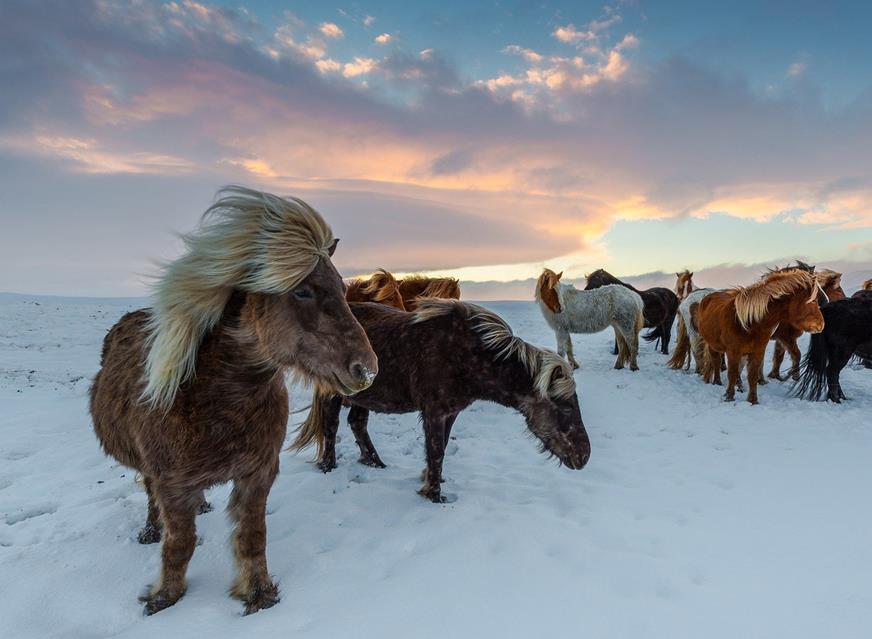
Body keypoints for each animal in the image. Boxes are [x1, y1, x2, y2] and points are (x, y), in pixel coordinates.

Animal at [89, 187, 377, 615]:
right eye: (302, 290)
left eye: (344, 290)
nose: (366, 370)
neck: (217, 401)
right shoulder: (172, 484)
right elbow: (179, 544)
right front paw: (164, 598)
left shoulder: (257, 474)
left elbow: (252, 537)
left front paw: (258, 594)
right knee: (150, 494)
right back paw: (150, 529)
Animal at [290, 300, 591, 502]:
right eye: (565, 407)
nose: (584, 456)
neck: (468, 354)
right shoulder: (434, 412)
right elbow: (436, 450)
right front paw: (434, 495)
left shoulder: (451, 412)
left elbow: (442, 447)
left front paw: (431, 480)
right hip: (333, 395)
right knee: (330, 427)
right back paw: (329, 466)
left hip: (364, 396)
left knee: (357, 423)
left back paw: (375, 463)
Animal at [697, 269, 824, 404]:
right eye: (814, 301)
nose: (821, 325)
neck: (749, 323)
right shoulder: (733, 351)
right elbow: (732, 374)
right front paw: (729, 398)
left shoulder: (758, 351)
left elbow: (752, 375)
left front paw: (753, 400)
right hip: (713, 345)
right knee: (716, 361)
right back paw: (717, 382)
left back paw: (739, 386)